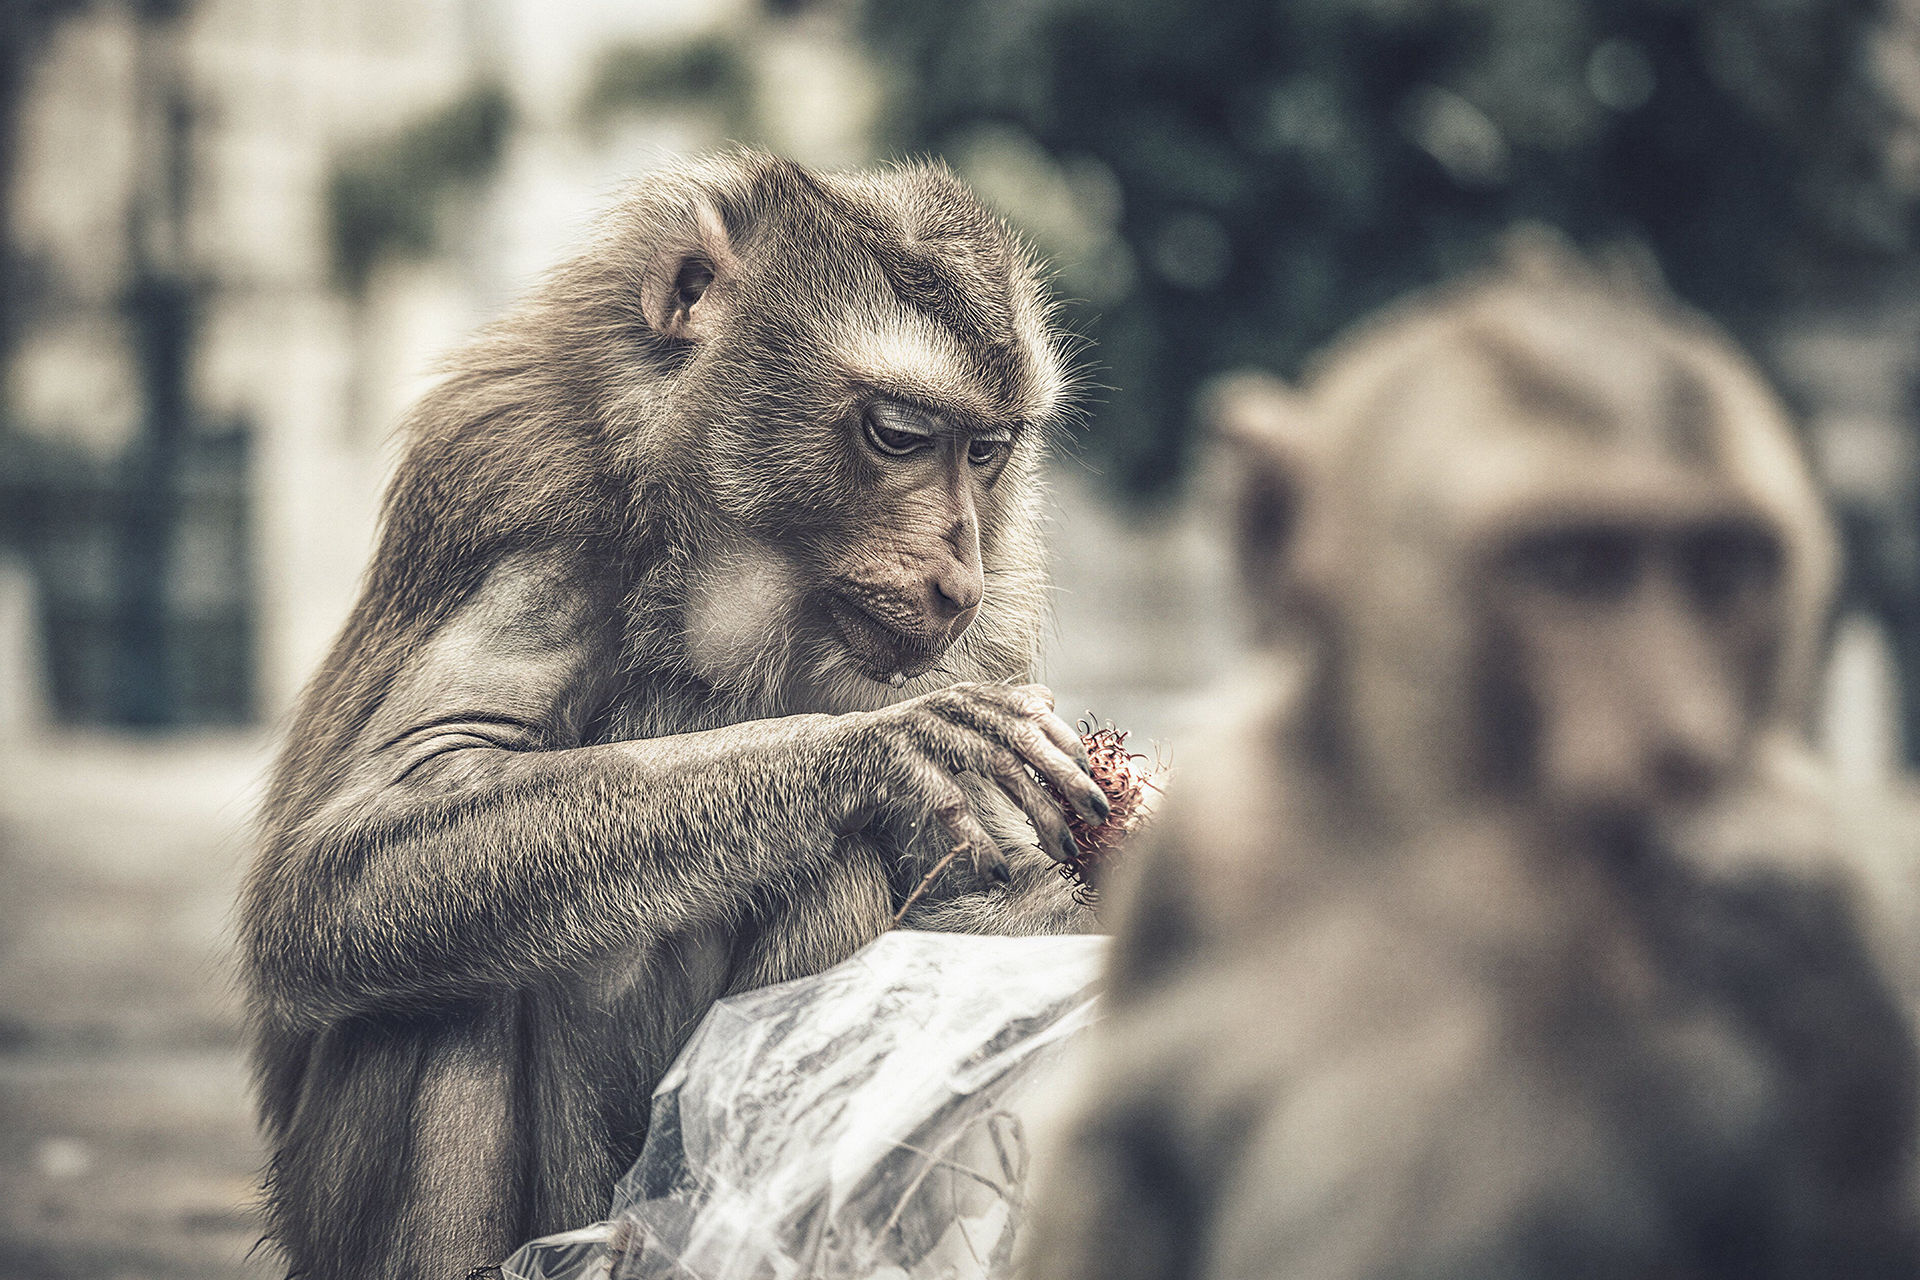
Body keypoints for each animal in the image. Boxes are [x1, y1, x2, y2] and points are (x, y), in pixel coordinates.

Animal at [236, 151, 1117, 1280]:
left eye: (988, 450)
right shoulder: (532, 497)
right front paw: (883, 746)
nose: (953, 568)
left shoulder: (998, 606)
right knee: (425, 963)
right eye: (901, 436)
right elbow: (361, 838)